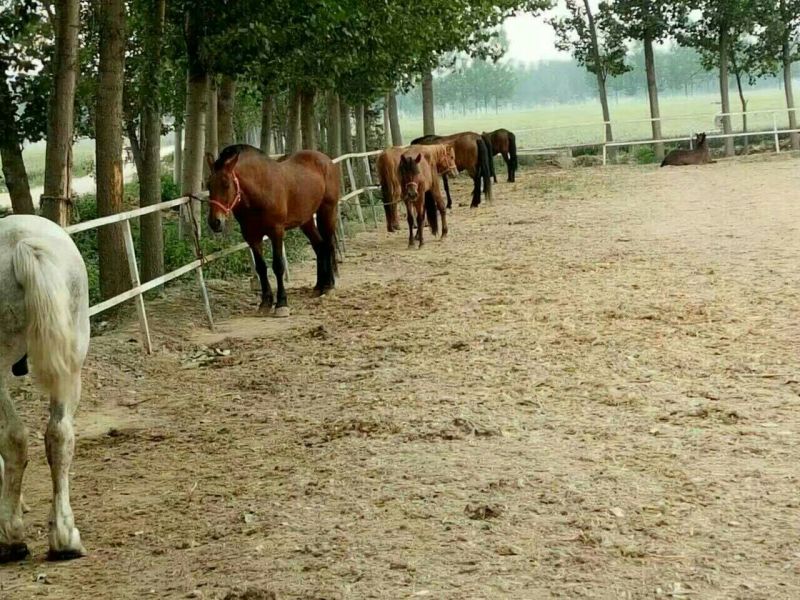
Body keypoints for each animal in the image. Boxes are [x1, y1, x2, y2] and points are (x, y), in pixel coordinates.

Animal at [205, 144, 340, 317]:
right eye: (209, 185)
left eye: (226, 184)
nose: (215, 222)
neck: (260, 190)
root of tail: (326, 160)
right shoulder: (252, 237)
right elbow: (261, 268)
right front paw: (265, 303)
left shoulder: (276, 232)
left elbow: (278, 266)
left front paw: (282, 303)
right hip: (306, 220)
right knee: (320, 247)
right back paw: (318, 287)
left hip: (327, 211)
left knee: (328, 246)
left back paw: (329, 286)